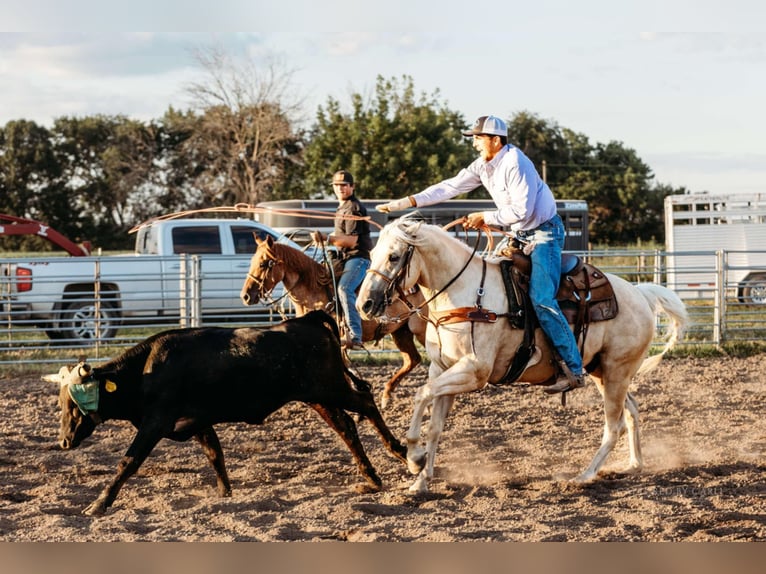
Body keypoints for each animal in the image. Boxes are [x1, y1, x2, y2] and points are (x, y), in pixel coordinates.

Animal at [242, 235, 426, 410]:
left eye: (264, 264)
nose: (245, 296)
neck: (315, 292)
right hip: (401, 331)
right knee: (413, 359)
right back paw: (386, 397)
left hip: (421, 331)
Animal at [358, 218, 688, 492]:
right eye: (372, 255)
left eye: (394, 256)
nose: (364, 304)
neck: (467, 294)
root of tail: (640, 293)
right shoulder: (443, 369)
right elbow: (435, 425)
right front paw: (421, 480)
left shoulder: (474, 372)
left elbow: (421, 394)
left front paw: (414, 457)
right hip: (603, 372)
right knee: (631, 412)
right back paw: (633, 464)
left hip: (617, 371)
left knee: (614, 425)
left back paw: (584, 476)